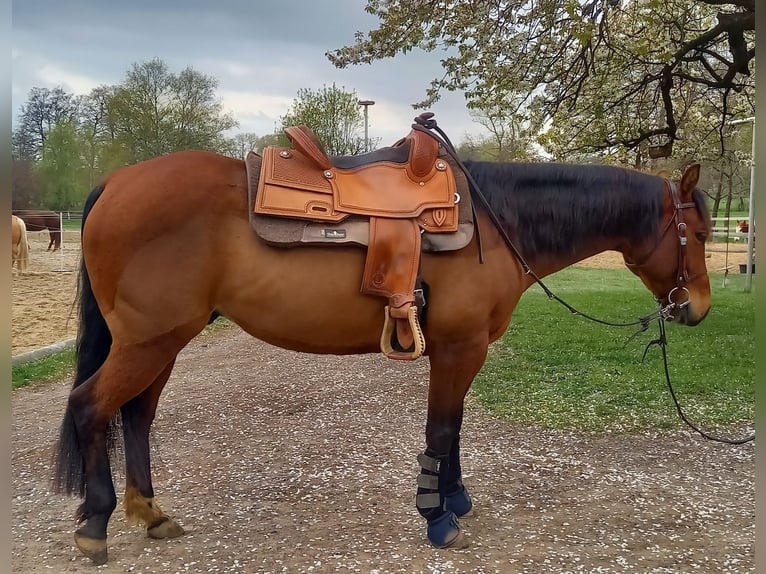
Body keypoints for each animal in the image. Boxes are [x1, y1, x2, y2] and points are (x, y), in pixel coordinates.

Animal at [52, 148, 712, 565]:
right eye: (701, 233)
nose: (697, 308)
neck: (497, 221)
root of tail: (116, 183)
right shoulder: (459, 346)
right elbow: (441, 428)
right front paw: (437, 517)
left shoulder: (461, 350)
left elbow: (454, 428)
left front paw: (454, 499)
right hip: (148, 341)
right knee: (89, 408)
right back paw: (95, 526)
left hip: (161, 342)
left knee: (135, 415)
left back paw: (150, 513)